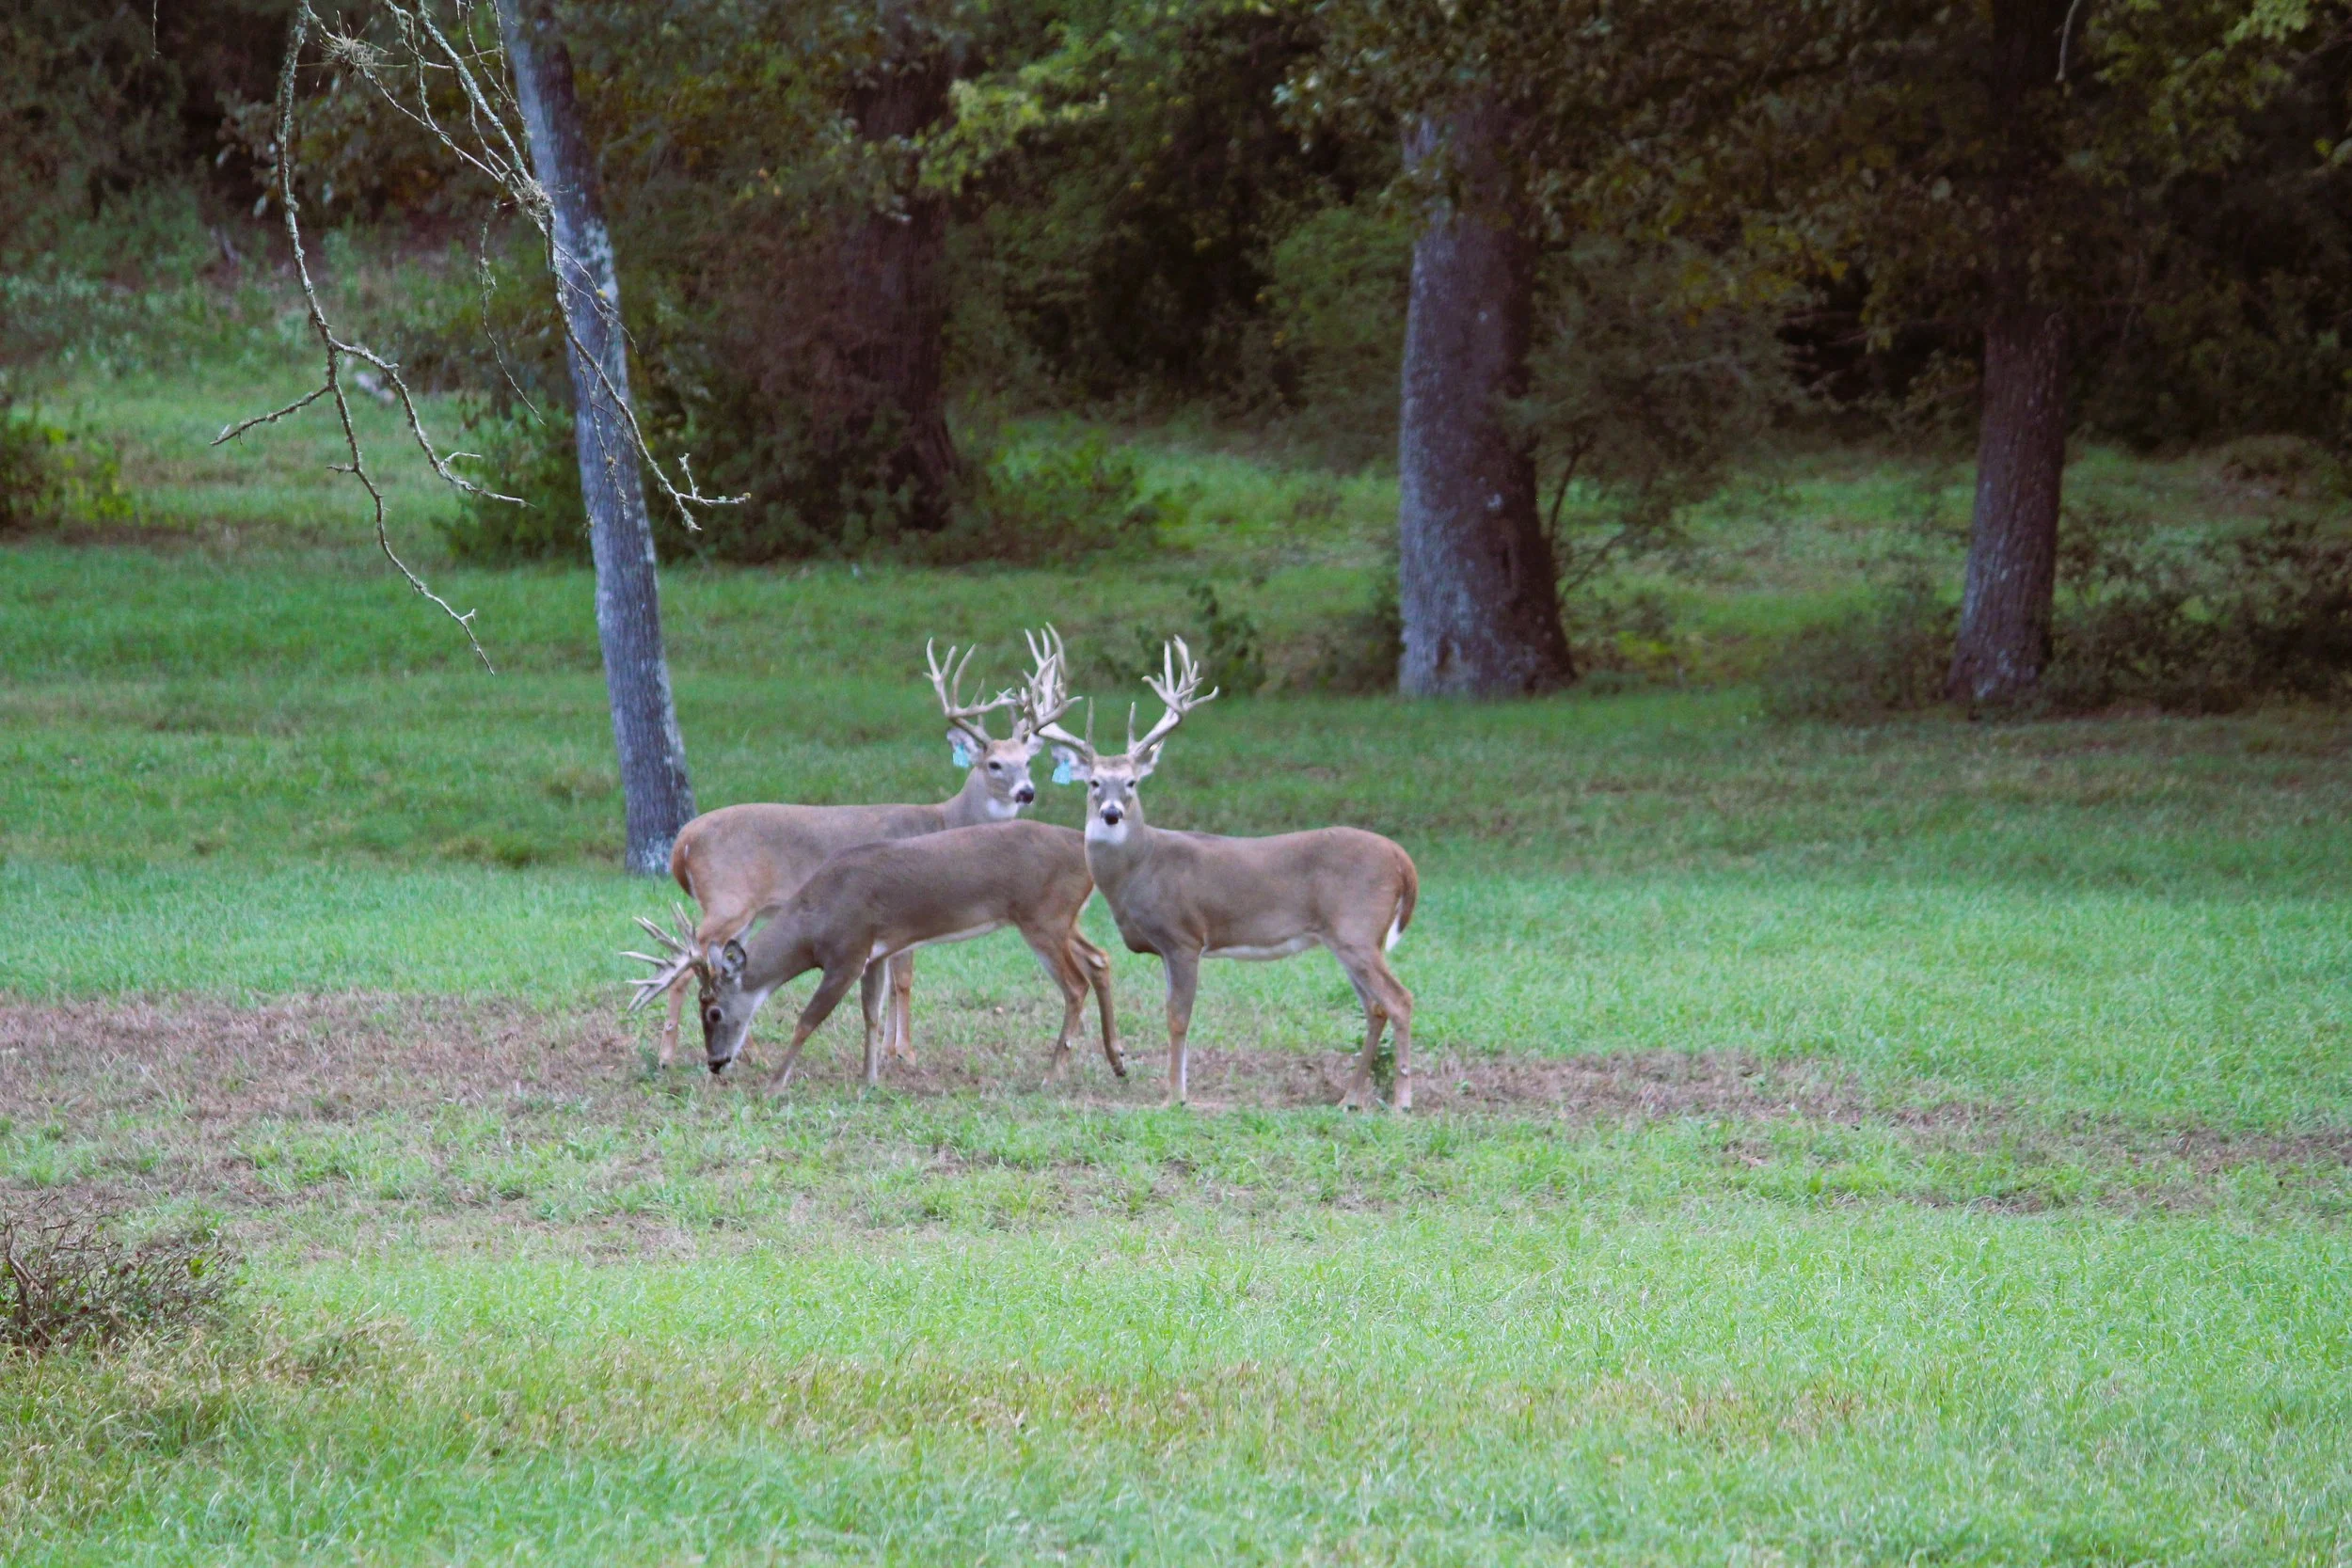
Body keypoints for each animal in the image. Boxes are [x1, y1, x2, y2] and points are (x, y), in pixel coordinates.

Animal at [626, 819, 1123, 1090]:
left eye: (711, 1010)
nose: (715, 1063)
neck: (815, 920)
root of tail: (1084, 851)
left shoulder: (847, 950)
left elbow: (809, 1018)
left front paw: (774, 1084)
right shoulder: (876, 952)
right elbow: (872, 1014)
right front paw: (870, 1080)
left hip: (1043, 916)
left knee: (1075, 985)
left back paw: (1052, 1075)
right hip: (1063, 919)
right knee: (1101, 959)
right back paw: (1117, 1060)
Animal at [646, 639, 1055, 1069]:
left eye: (1028, 761)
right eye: (994, 764)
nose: (1027, 792)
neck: (946, 821)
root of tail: (682, 842)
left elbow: (889, 984)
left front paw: (891, 1050)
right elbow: (904, 981)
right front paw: (906, 1052)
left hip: (741, 913)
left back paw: (748, 1054)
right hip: (727, 901)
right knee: (687, 966)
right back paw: (667, 1054)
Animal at [1027, 629, 1419, 1110]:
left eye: (1132, 782)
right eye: (1094, 782)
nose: (1112, 813)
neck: (1139, 871)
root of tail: (1402, 859)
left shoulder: (1184, 936)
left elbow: (1177, 1017)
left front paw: (1175, 1097)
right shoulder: (1167, 945)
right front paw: (1177, 1090)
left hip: (1356, 927)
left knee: (1400, 1000)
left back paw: (1401, 1100)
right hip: (1350, 938)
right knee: (1375, 1007)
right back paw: (1348, 1098)